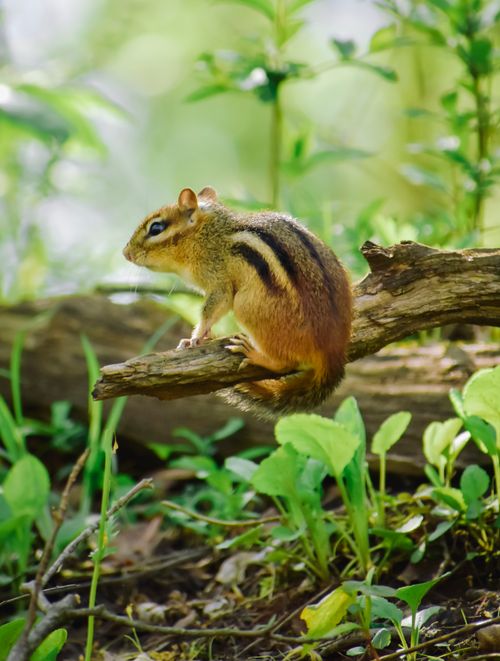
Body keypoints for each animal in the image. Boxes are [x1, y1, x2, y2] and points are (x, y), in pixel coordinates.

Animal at [123, 187, 352, 417]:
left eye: (156, 228)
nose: (126, 254)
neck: (207, 235)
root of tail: (331, 354)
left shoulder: (219, 281)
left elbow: (212, 309)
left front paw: (194, 338)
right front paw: (205, 336)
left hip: (246, 306)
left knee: (286, 363)